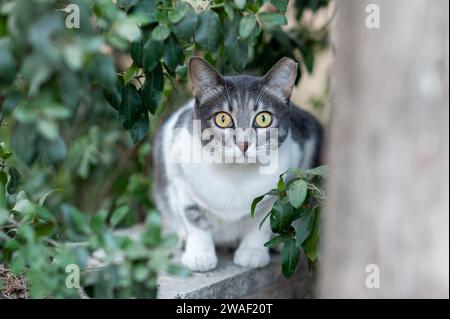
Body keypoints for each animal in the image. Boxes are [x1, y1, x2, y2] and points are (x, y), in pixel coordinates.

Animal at [153, 57, 322, 272]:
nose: (243, 144)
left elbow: (263, 222)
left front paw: (252, 252)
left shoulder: (282, 185)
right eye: (222, 118)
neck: (235, 174)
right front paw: (200, 254)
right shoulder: (179, 174)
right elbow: (194, 219)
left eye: (263, 118)